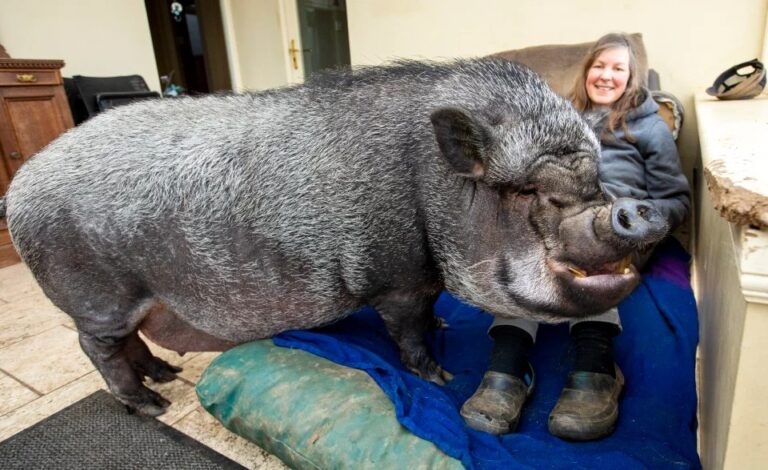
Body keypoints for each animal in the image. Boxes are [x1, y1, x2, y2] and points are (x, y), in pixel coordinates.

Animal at [4, 58, 664, 414]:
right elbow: (407, 331)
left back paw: (164, 378)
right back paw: (155, 403)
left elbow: (429, 314)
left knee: (132, 343)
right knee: (98, 349)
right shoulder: (397, 279)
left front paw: (447, 326)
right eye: (526, 191)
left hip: (134, 299)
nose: (637, 211)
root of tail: (20, 185)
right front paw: (441, 378)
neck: (431, 185)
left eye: (594, 178)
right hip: (97, 295)